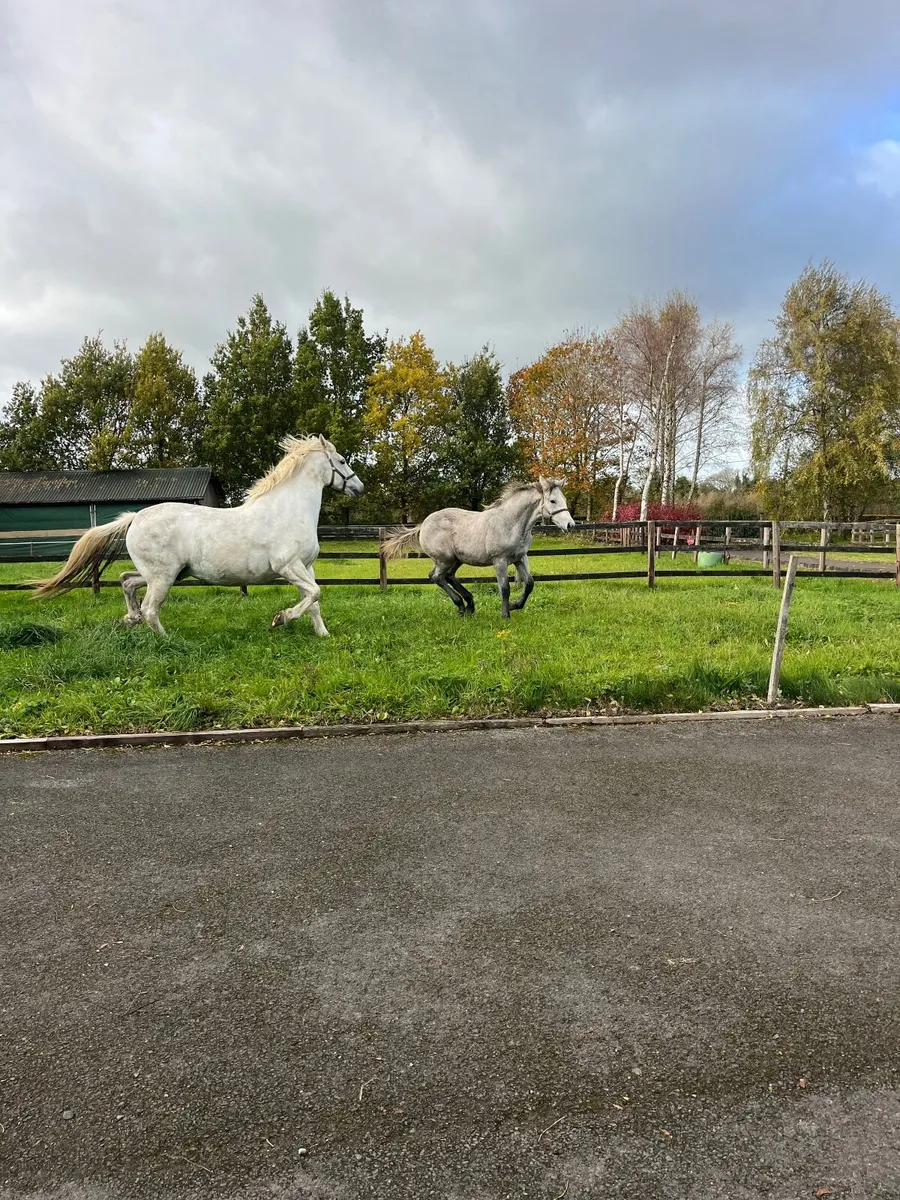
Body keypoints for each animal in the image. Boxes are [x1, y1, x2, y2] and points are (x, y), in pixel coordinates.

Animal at [33, 434, 363, 636]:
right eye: (342, 461)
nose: (359, 488)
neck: (288, 510)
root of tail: (135, 517)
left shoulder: (306, 567)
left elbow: (314, 598)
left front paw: (322, 634)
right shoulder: (289, 566)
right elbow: (315, 594)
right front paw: (280, 618)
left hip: (165, 574)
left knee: (127, 581)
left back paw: (130, 618)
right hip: (163, 577)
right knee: (150, 608)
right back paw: (165, 639)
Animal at [382, 478, 576, 617]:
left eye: (564, 499)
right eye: (552, 501)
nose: (570, 525)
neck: (511, 523)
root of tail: (423, 524)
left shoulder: (520, 558)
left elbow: (529, 583)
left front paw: (515, 606)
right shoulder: (500, 560)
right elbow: (504, 587)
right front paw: (505, 614)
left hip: (456, 560)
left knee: (448, 576)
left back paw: (469, 604)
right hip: (444, 559)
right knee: (436, 577)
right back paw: (461, 605)